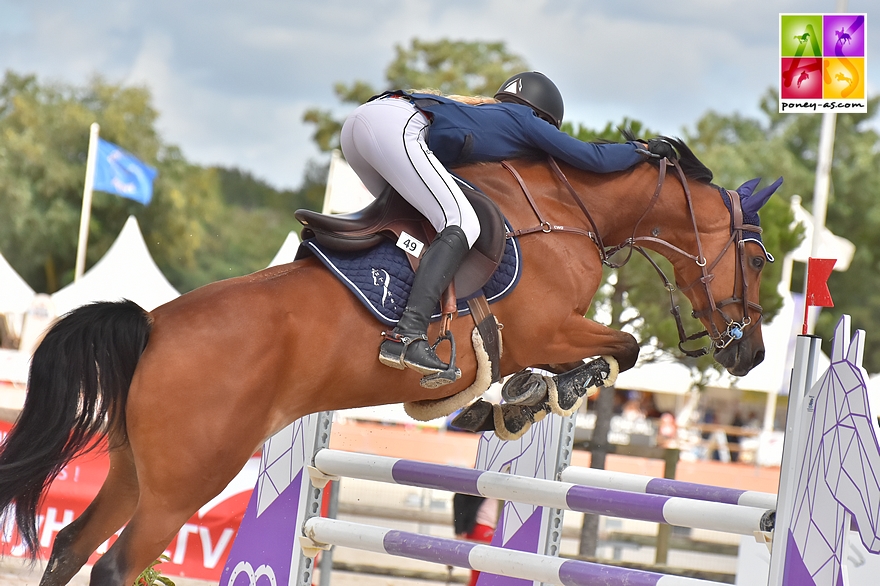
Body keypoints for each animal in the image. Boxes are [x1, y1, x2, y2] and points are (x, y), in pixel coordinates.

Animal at [1, 138, 776, 584]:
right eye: (760, 258)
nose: (752, 354)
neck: (567, 209)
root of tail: (152, 325)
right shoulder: (550, 330)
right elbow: (621, 348)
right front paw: (543, 395)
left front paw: (506, 407)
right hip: (183, 484)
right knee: (114, 565)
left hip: (136, 471)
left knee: (70, 545)